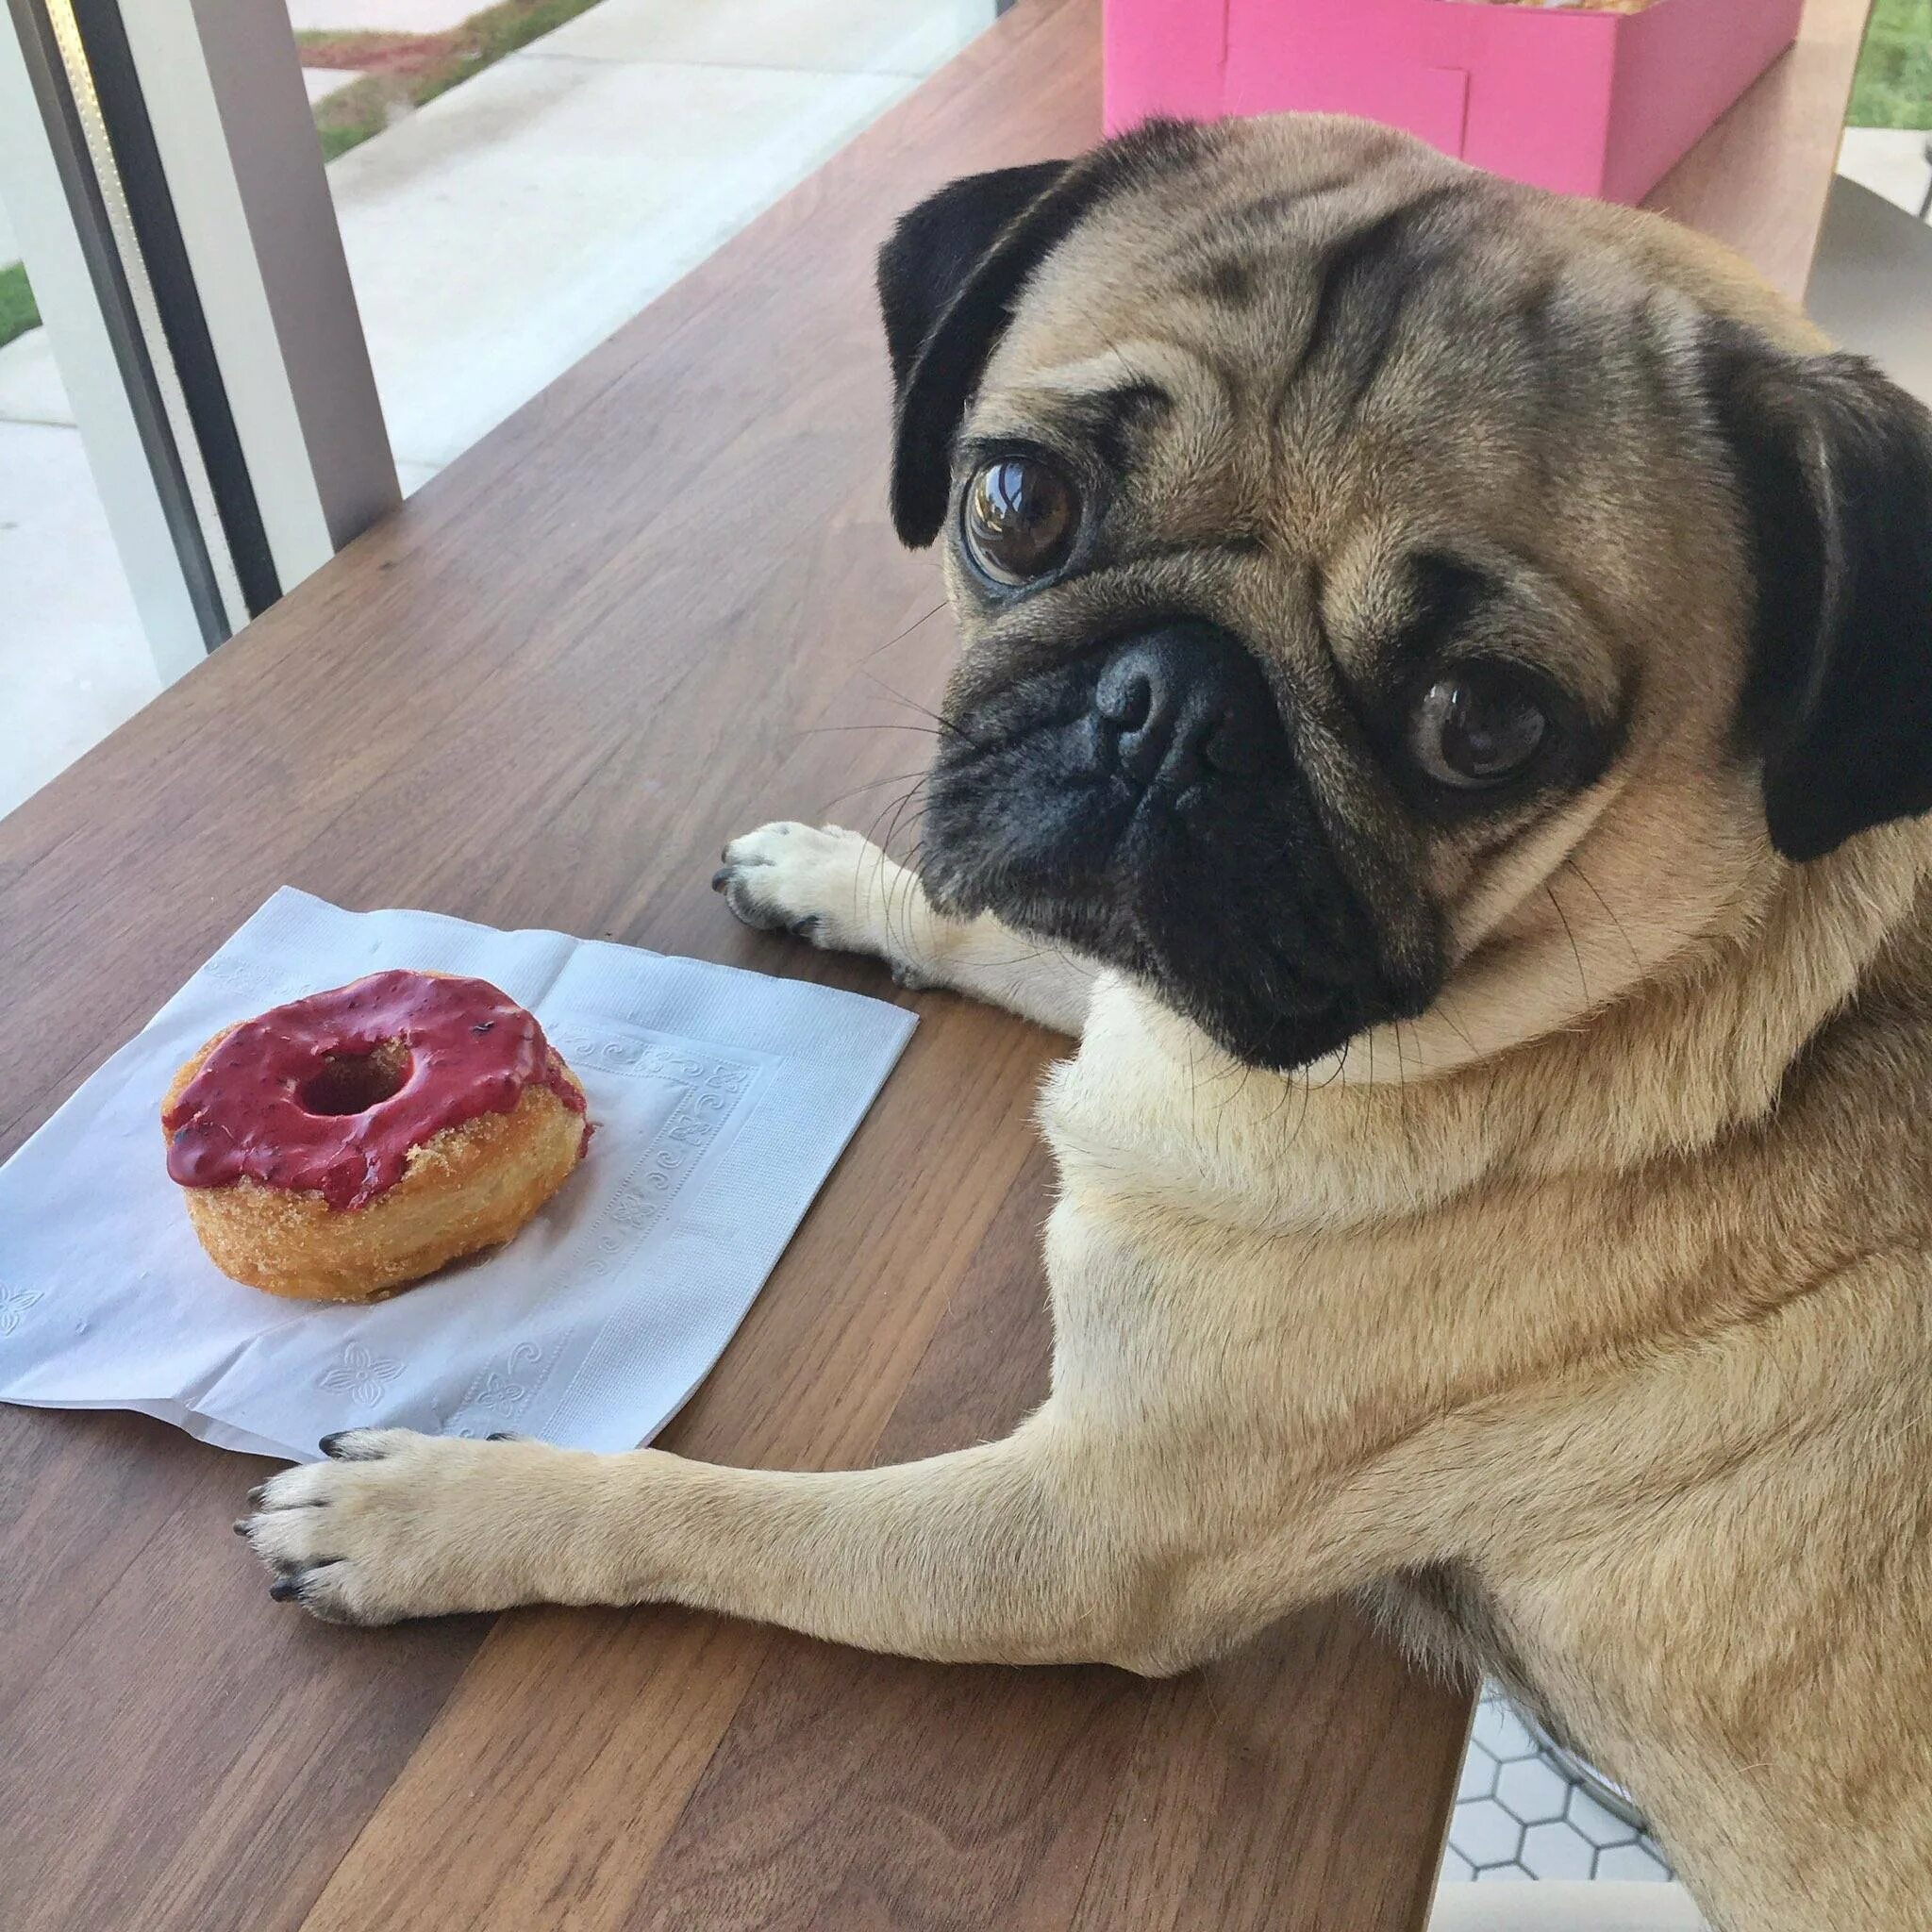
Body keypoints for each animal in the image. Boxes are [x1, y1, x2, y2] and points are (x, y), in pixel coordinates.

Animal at [242, 121, 1932, 1932]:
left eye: (1482, 724)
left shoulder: (1080, 1538)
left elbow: (705, 1513)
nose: (1170, 702)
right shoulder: (1152, 980)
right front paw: (846, 881)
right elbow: (1008, 931)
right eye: (1015, 502)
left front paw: (446, 1508)